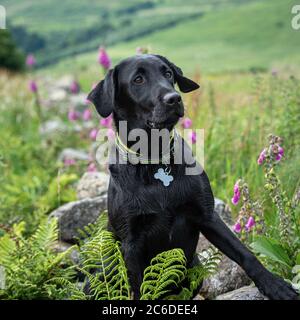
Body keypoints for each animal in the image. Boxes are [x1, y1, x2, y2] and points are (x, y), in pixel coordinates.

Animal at [88, 54, 298, 300]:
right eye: (138, 79)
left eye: (168, 73)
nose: (174, 98)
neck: (154, 161)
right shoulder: (131, 242)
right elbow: (141, 288)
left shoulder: (207, 216)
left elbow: (245, 254)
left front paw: (274, 285)